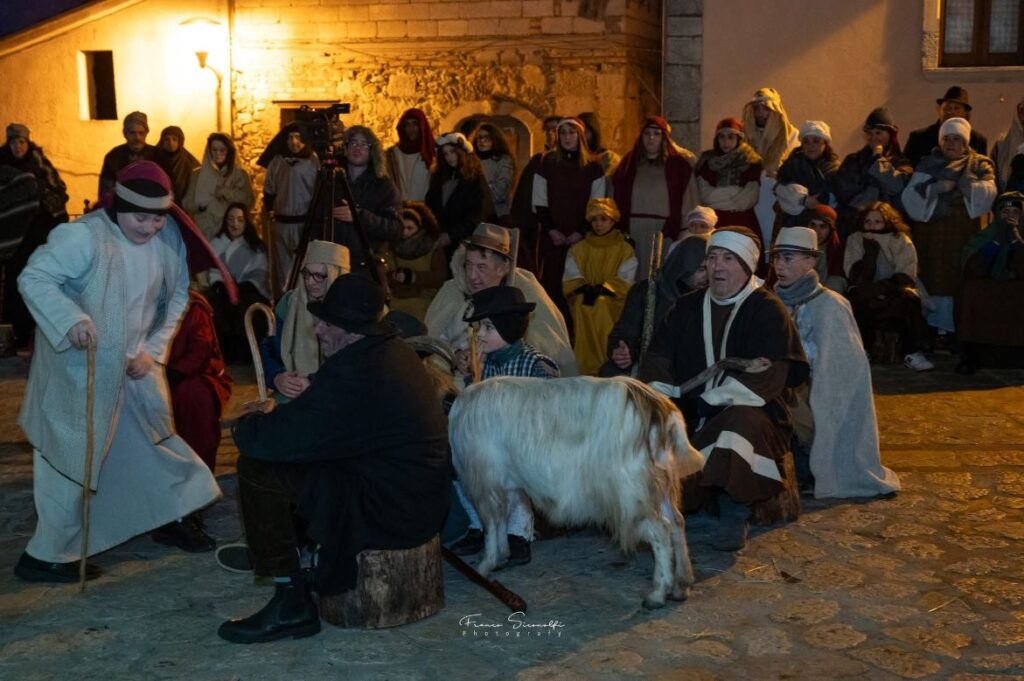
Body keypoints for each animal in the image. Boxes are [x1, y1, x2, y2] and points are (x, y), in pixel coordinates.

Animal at [448, 374, 704, 606]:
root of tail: (659, 407)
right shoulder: (506, 483)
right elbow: (501, 520)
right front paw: (501, 556)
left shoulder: (484, 479)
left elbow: (491, 523)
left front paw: (485, 565)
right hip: (659, 484)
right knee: (677, 522)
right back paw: (682, 585)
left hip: (632, 493)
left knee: (661, 529)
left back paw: (658, 593)